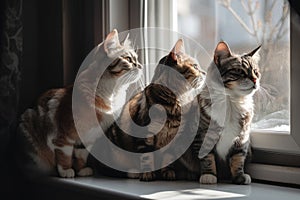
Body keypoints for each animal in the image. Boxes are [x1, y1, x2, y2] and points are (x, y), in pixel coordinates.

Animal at [18, 29, 143, 178]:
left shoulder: (87, 139)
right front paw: (66, 171)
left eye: (137, 59)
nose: (141, 66)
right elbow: (64, 156)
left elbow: (81, 156)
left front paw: (82, 170)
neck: (111, 95)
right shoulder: (64, 137)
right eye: (129, 60)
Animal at [98, 38, 206, 181]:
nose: (205, 72)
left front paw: (168, 173)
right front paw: (148, 174)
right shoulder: (144, 136)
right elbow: (146, 157)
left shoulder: (172, 142)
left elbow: (168, 159)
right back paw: (134, 172)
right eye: (195, 66)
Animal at [175, 40, 262, 184]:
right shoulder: (203, 136)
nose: (255, 80)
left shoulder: (242, 139)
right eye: (239, 71)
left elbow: (238, 159)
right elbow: (207, 158)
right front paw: (209, 175)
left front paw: (239, 176)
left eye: (256, 72)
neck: (231, 102)